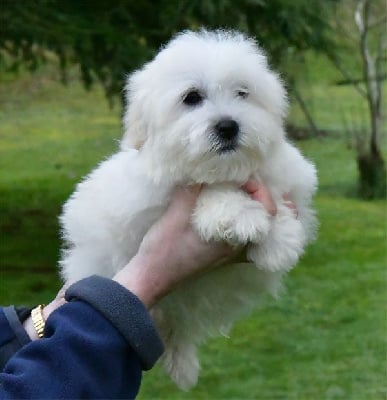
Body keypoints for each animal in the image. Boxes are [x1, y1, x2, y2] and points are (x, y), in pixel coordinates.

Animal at [59, 29, 316, 390]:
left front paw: (277, 244)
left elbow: (279, 195)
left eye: (243, 93)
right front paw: (239, 214)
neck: (223, 169)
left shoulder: (292, 180)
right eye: (192, 98)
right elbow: (208, 191)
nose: (228, 126)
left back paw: (183, 364)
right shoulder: (144, 202)